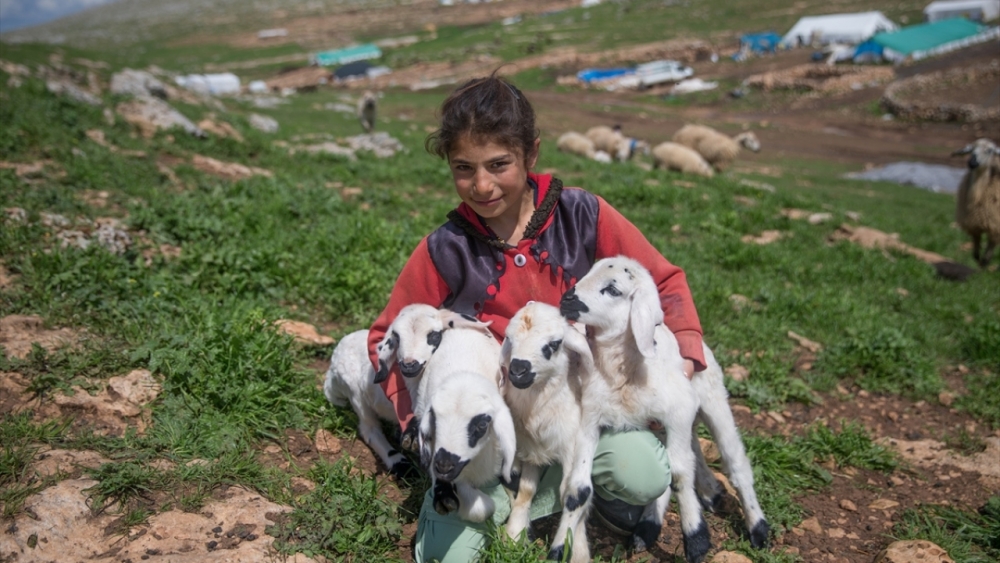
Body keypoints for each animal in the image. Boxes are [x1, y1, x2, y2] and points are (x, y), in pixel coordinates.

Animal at [500, 304, 600, 563]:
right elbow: (525, 489)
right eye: (509, 339)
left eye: (554, 344)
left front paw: (574, 550)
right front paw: (514, 535)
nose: (518, 370)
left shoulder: (572, 446)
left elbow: (573, 494)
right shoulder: (529, 450)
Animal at [564, 256, 772, 563]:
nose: (567, 299)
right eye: (588, 272)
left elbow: (680, 475)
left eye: (613, 289)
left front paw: (696, 541)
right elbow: (578, 488)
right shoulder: (591, 418)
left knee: (735, 464)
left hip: (712, 400)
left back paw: (758, 528)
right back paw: (655, 523)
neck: (623, 372)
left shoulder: (679, 411)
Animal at [948, 138, 996, 268]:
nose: (972, 162)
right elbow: (976, 243)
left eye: (990, 150)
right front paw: (978, 258)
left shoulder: (994, 224)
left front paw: (984, 261)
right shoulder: (973, 223)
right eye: (970, 150)